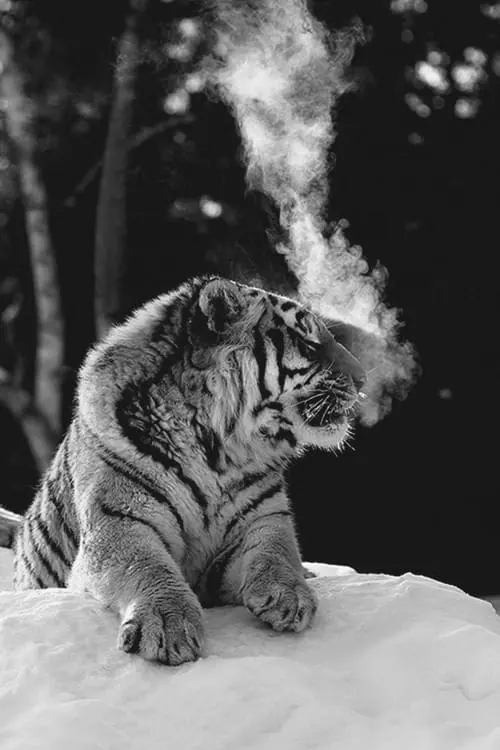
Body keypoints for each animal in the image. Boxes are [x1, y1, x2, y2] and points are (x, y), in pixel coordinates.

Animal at [0, 276, 366, 665]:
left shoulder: (263, 518)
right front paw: (166, 626)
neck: (219, 453)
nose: (363, 379)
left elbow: (276, 550)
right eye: (310, 345)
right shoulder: (118, 524)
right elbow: (148, 567)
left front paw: (291, 596)